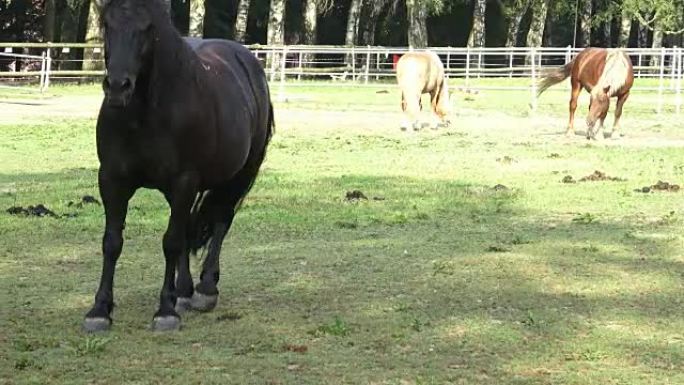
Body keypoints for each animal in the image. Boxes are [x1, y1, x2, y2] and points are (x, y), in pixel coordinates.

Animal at [81, 0, 272, 330]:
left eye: (149, 27)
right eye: (107, 23)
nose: (118, 86)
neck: (144, 115)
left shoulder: (184, 181)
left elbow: (170, 241)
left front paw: (165, 311)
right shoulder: (112, 180)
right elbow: (112, 241)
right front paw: (99, 310)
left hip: (238, 175)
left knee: (221, 221)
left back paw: (205, 289)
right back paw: (183, 291)